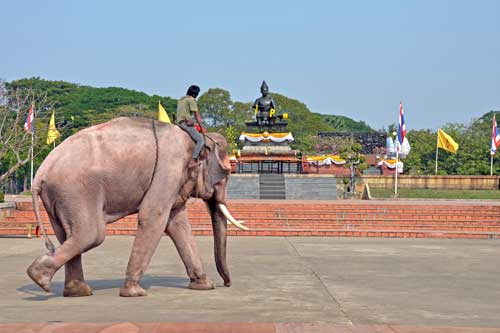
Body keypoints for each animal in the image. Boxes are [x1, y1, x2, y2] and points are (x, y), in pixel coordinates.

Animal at [26, 116, 247, 296]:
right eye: (227, 172)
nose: (226, 284)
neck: (194, 139)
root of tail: (41, 172)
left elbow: (178, 224)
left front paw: (204, 286)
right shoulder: (168, 170)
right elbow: (153, 216)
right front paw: (134, 292)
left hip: (59, 197)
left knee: (67, 235)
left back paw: (76, 291)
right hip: (76, 191)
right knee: (91, 235)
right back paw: (39, 277)